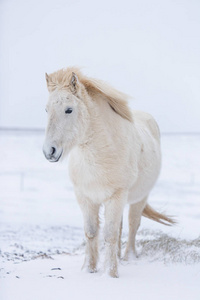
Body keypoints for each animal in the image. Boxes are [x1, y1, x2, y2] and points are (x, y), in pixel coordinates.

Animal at [43, 67, 174, 278]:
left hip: (139, 198)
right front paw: (89, 269)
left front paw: (111, 274)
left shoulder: (116, 197)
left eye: (69, 109)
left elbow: (110, 235)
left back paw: (129, 258)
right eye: (47, 110)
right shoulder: (85, 198)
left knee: (132, 225)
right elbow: (91, 232)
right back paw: (120, 257)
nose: (49, 151)